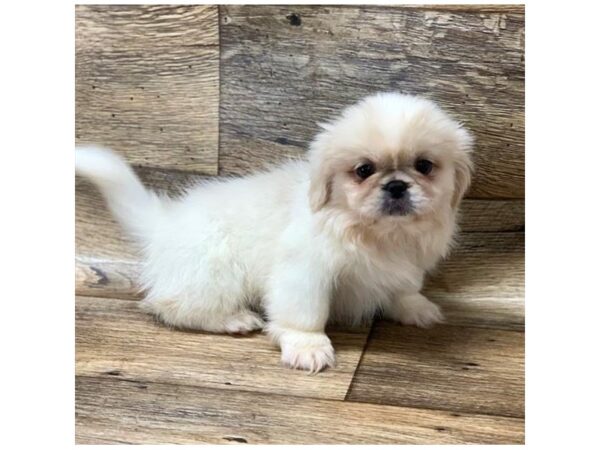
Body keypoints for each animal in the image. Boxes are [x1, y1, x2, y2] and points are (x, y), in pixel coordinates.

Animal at [75, 92, 474, 372]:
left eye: (424, 166)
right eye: (363, 170)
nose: (395, 186)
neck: (374, 233)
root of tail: (166, 222)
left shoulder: (406, 264)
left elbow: (403, 289)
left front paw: (415, 308)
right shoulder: (306, 273)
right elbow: (305, 315)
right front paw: (308, 348)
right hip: (214, 271)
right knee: (171, 305)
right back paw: (233, 319)